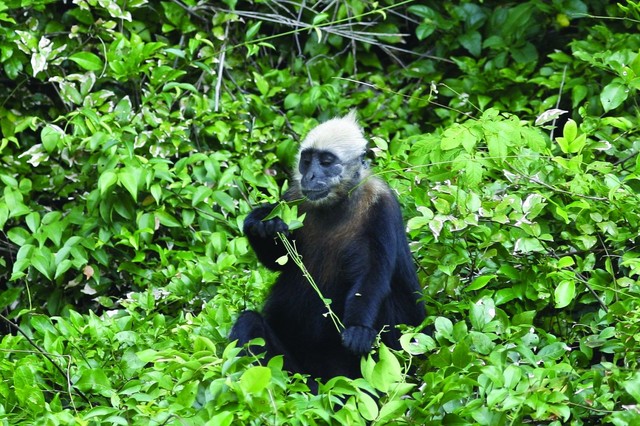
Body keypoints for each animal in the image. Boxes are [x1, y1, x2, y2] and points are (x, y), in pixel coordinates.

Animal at [230, 111, 424, 384]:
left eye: (325, 162)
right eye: (306, 161)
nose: (309, 176)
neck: (337, 204)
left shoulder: (381, 207)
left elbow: (373, 273)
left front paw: (358, 329)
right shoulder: (293, 199)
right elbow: (279, 260)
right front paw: (262, 224)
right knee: (249, 322)